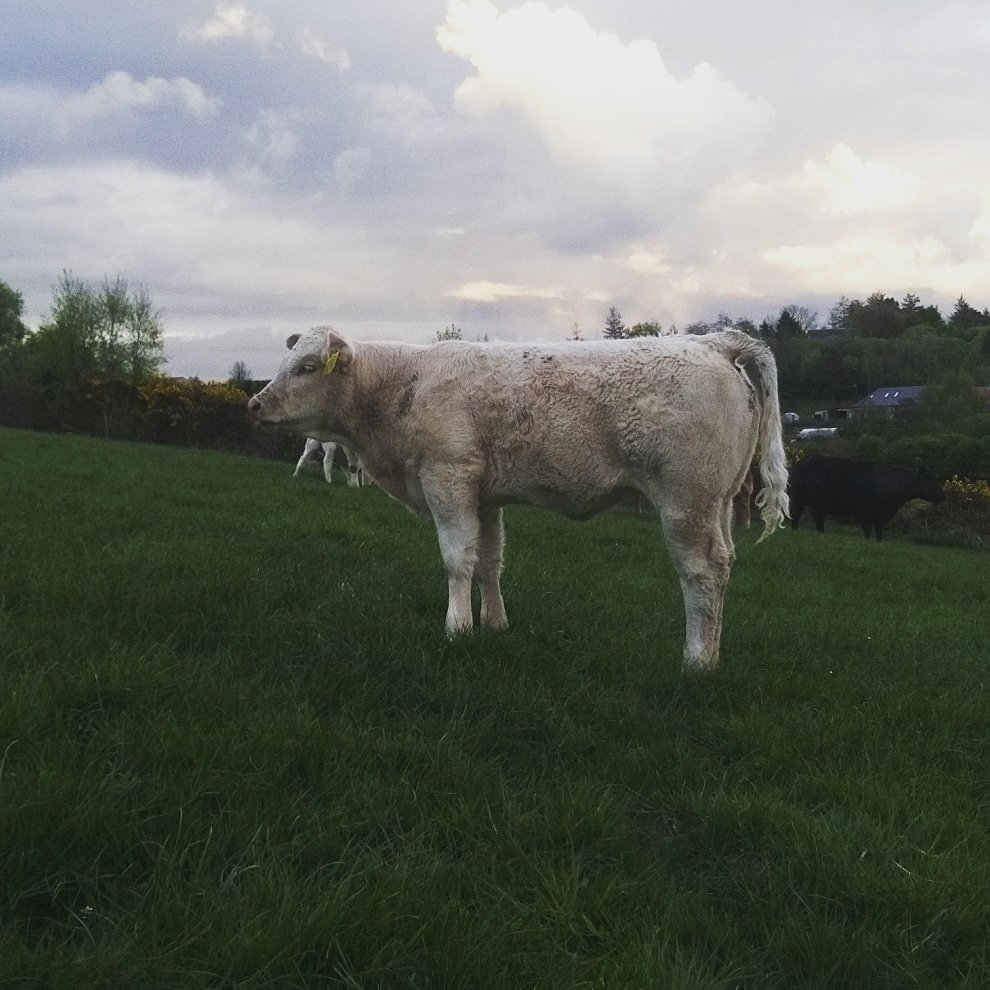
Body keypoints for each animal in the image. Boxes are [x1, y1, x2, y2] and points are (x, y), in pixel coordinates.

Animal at [248, 327, 789, 672]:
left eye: (307, 366)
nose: (255, 403)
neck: (402, 383)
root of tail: (711, 341)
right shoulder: (487, 498)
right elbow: (489, 561)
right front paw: (494, 623)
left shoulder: (448, 479)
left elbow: (457, 560)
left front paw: (457, 627)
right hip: (719, 502)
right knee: (725, 563)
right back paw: (713, 652)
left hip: (686, 502)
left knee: (702, 572)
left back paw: (696, 661)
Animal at [789, 453, 945, 541]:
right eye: (930, 482)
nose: (942, 495)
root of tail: (800, 462)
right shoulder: (865, 511)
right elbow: (868, 529)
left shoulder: (882, 515)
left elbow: (879, 530)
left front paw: (879, 542)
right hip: (798, 498)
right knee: (795, 515)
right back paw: (794, 531)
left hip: (818, 504)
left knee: (818, 521)